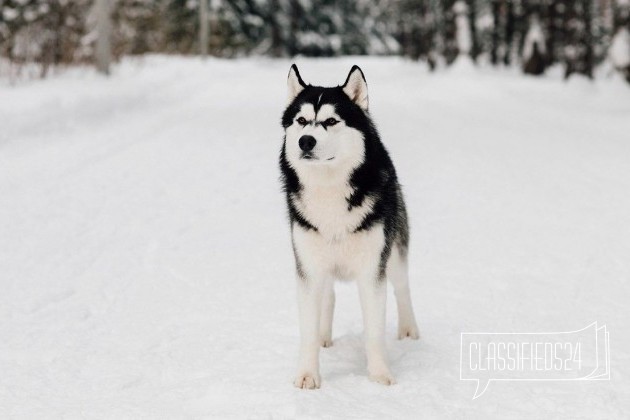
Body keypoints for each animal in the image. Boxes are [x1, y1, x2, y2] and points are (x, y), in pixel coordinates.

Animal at [280, 64, 420, 388]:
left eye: (331, 121)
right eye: (301, 121)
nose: (305, 141)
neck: (329, 189)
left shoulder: (372, 270)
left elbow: (374, 331)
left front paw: (380, 375)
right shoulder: (308, 268)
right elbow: (308, 329)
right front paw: (308, 375)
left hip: (394, 254)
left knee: (402, 287)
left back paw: (409, 330)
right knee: (328, 295)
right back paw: (324, 336)